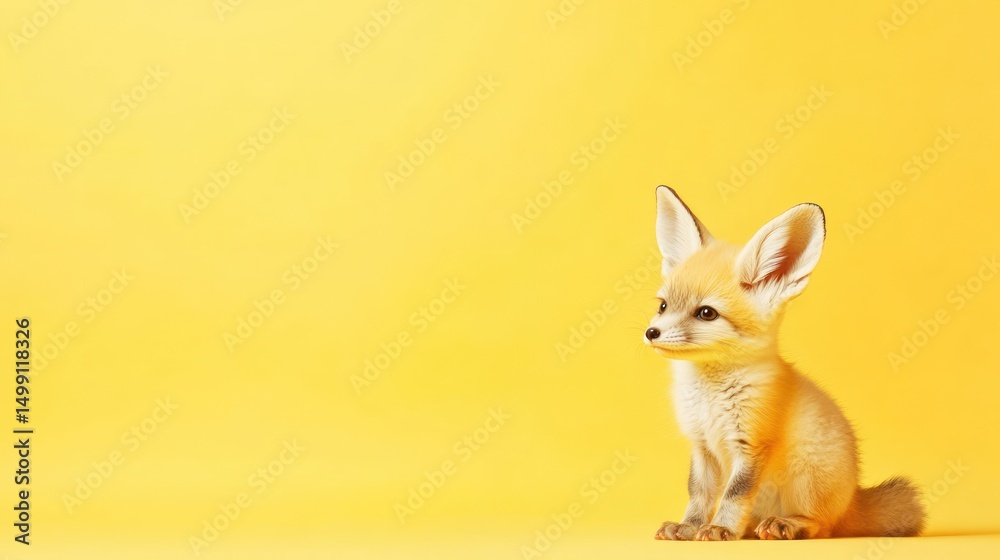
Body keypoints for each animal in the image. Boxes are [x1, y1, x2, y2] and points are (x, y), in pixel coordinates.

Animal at [646, 186, 925, 541]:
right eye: (663, 306)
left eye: (706, 313)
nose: (651, 332)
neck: (710, 396)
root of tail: (852, 500)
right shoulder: (702, 446)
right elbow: (699, 495)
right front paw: (690, 527)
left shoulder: (753, 443)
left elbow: (734, 494)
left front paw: (721, 527)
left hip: (806, 480)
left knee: (822, 527)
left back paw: (787, 525)